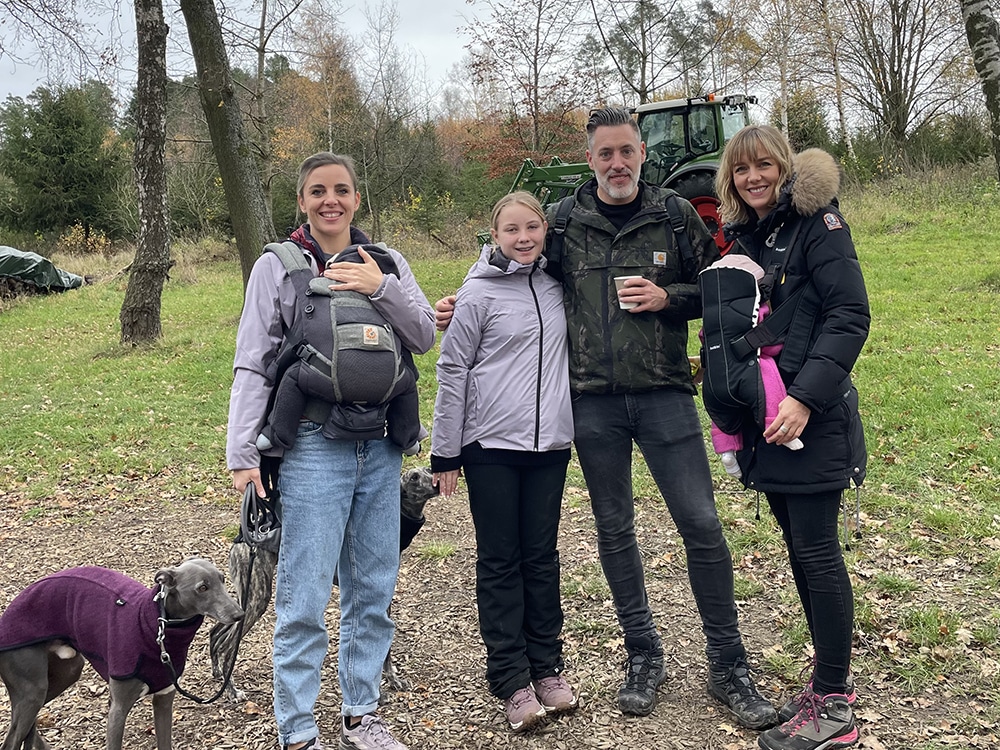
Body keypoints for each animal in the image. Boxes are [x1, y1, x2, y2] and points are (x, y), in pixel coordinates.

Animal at [0, 557, 243, 750]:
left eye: (222, 579)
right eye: (202, 588)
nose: (239, 614)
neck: (157, 630)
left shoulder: (164, 698)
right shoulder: (117, 708)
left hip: (65, 672)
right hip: (32, 689)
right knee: (11, 741)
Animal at [209, 466, 439, 702]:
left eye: (429, 469)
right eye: (414, 478)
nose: (437, 483)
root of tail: (241, 538)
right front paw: (382, 688)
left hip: (245, 599)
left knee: (216, 632)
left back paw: (218, 673)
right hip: (257, 598)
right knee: (228, 644)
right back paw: (232, 690)